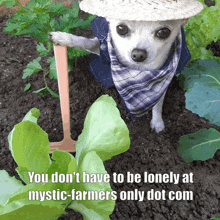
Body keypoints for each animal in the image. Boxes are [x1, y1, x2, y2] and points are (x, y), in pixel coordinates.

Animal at [48, 0, 203, 132]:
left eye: (164, 32)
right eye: (121, 29)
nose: (138, 54)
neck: (136, 70)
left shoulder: (163, 80)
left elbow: (158, 103)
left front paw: (157, 121)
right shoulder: (104, 49)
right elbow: (87, 42)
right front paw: (63, 37)